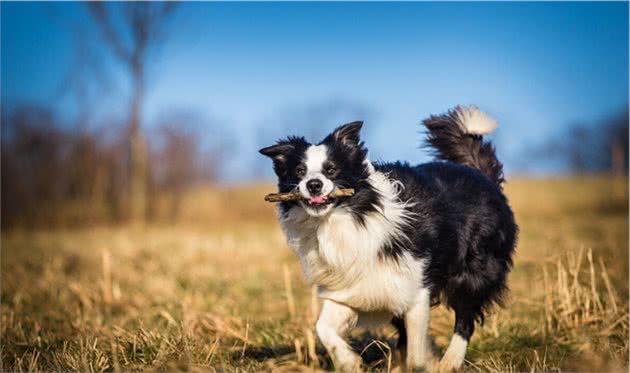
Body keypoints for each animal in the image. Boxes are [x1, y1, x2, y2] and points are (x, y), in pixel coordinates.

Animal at [260, 106, 520, 370]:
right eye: (299, 171)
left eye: (331, 169)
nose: (313, 185)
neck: (342, 220)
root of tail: (480, 174)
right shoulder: (351, 288)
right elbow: (323, 328)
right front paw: (349, 362)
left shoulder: (415, 289)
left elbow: (416, 356)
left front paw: (424, 364)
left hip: (474, 271)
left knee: (465, 317)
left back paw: (450, 362)